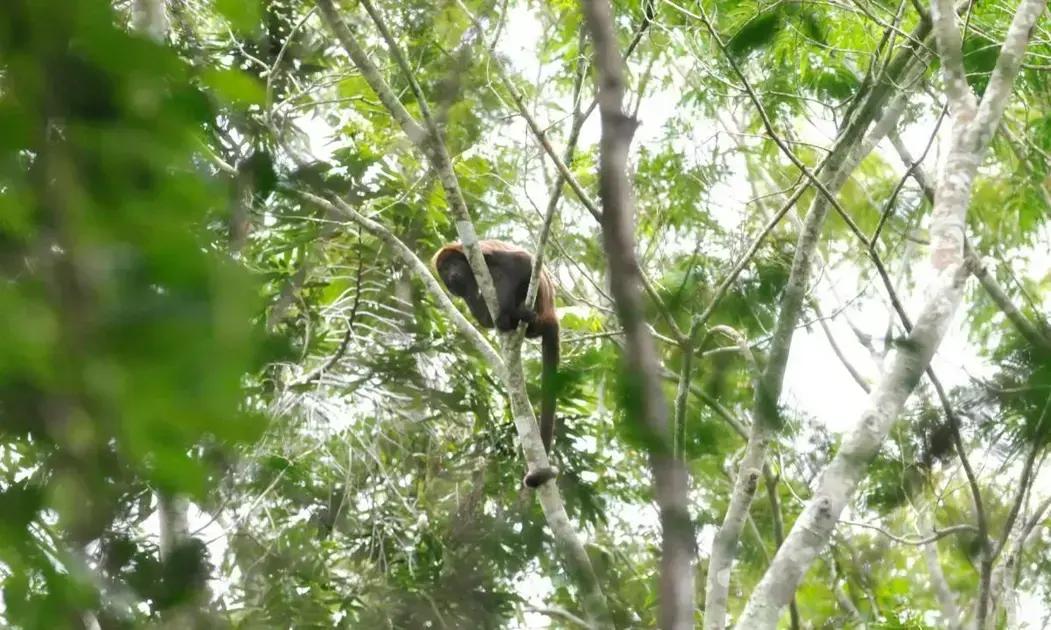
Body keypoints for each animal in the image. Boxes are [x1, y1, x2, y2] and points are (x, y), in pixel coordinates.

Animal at [432, 240, 560, 488]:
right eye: (444, 269)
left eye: (453, 264)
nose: (451, 274)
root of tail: (550, 313)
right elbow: (480, 316)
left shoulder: (481, 253)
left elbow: (522, 261)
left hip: (539, 300)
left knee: (506, 274)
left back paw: (514, 315)